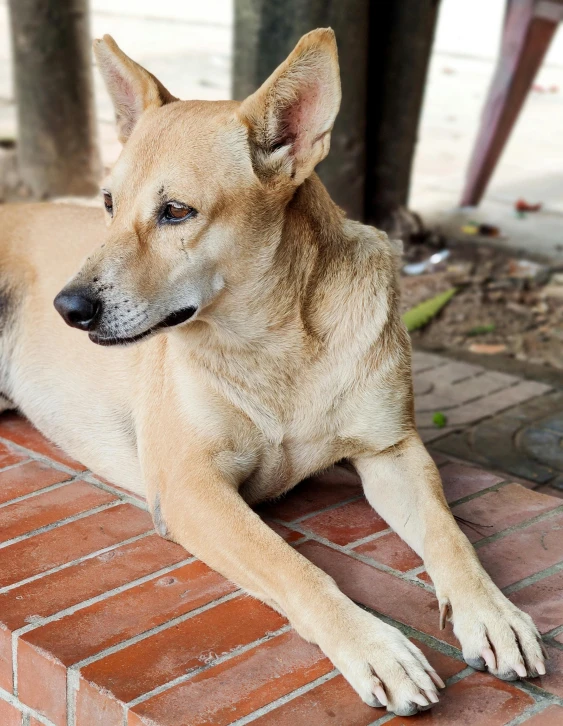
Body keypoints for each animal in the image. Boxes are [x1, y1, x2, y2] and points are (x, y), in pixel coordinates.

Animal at [0, 28, 548, 716]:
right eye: (106, 203)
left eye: (176, 212)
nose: (68, 308)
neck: (273, 341)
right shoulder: (192, 487)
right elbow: (296, 568)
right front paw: (375, 646)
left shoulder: (393, 450)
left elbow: (451, 537)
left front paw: (492, 613)